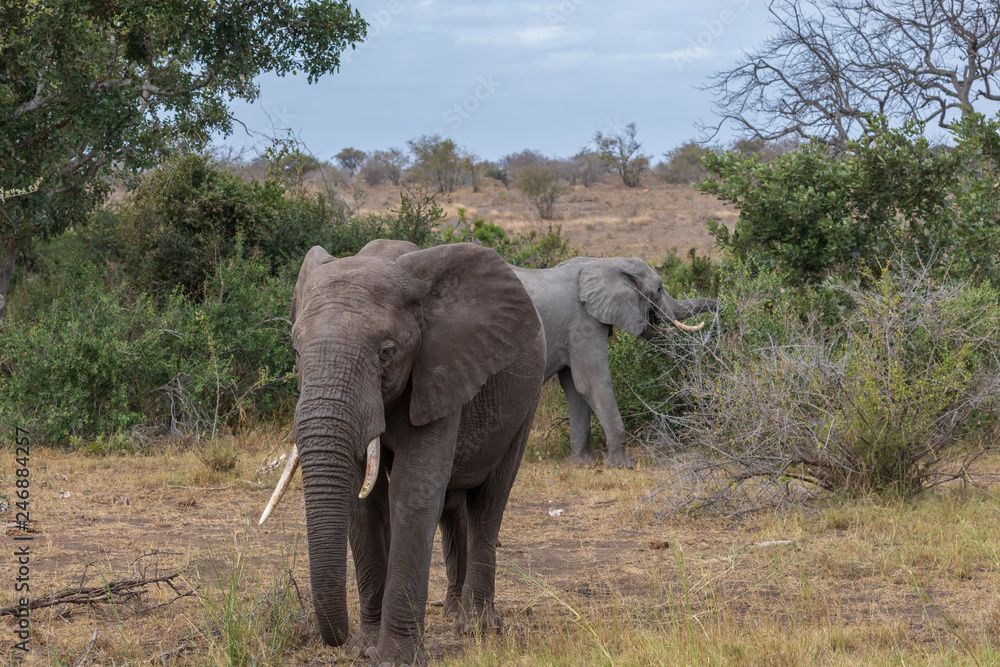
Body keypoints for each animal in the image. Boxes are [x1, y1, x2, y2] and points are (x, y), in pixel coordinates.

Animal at [258, 239, 546, 665]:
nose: (338, 639)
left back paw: (477, 627)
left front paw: (394, 658)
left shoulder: (441, 372)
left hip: (526, 403)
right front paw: (364, 648)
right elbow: (362, 503)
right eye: (295, 351)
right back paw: (452, 612)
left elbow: (413, 492)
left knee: (489, 503)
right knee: (453, 508)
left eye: (387, 351)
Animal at [511, 257, 717, 468]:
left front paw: (580, 463)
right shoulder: (584, 325)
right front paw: (623, 466)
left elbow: (576, 389)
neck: (603, 263)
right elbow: (592, 384)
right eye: (659, 289)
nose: (718, 312)